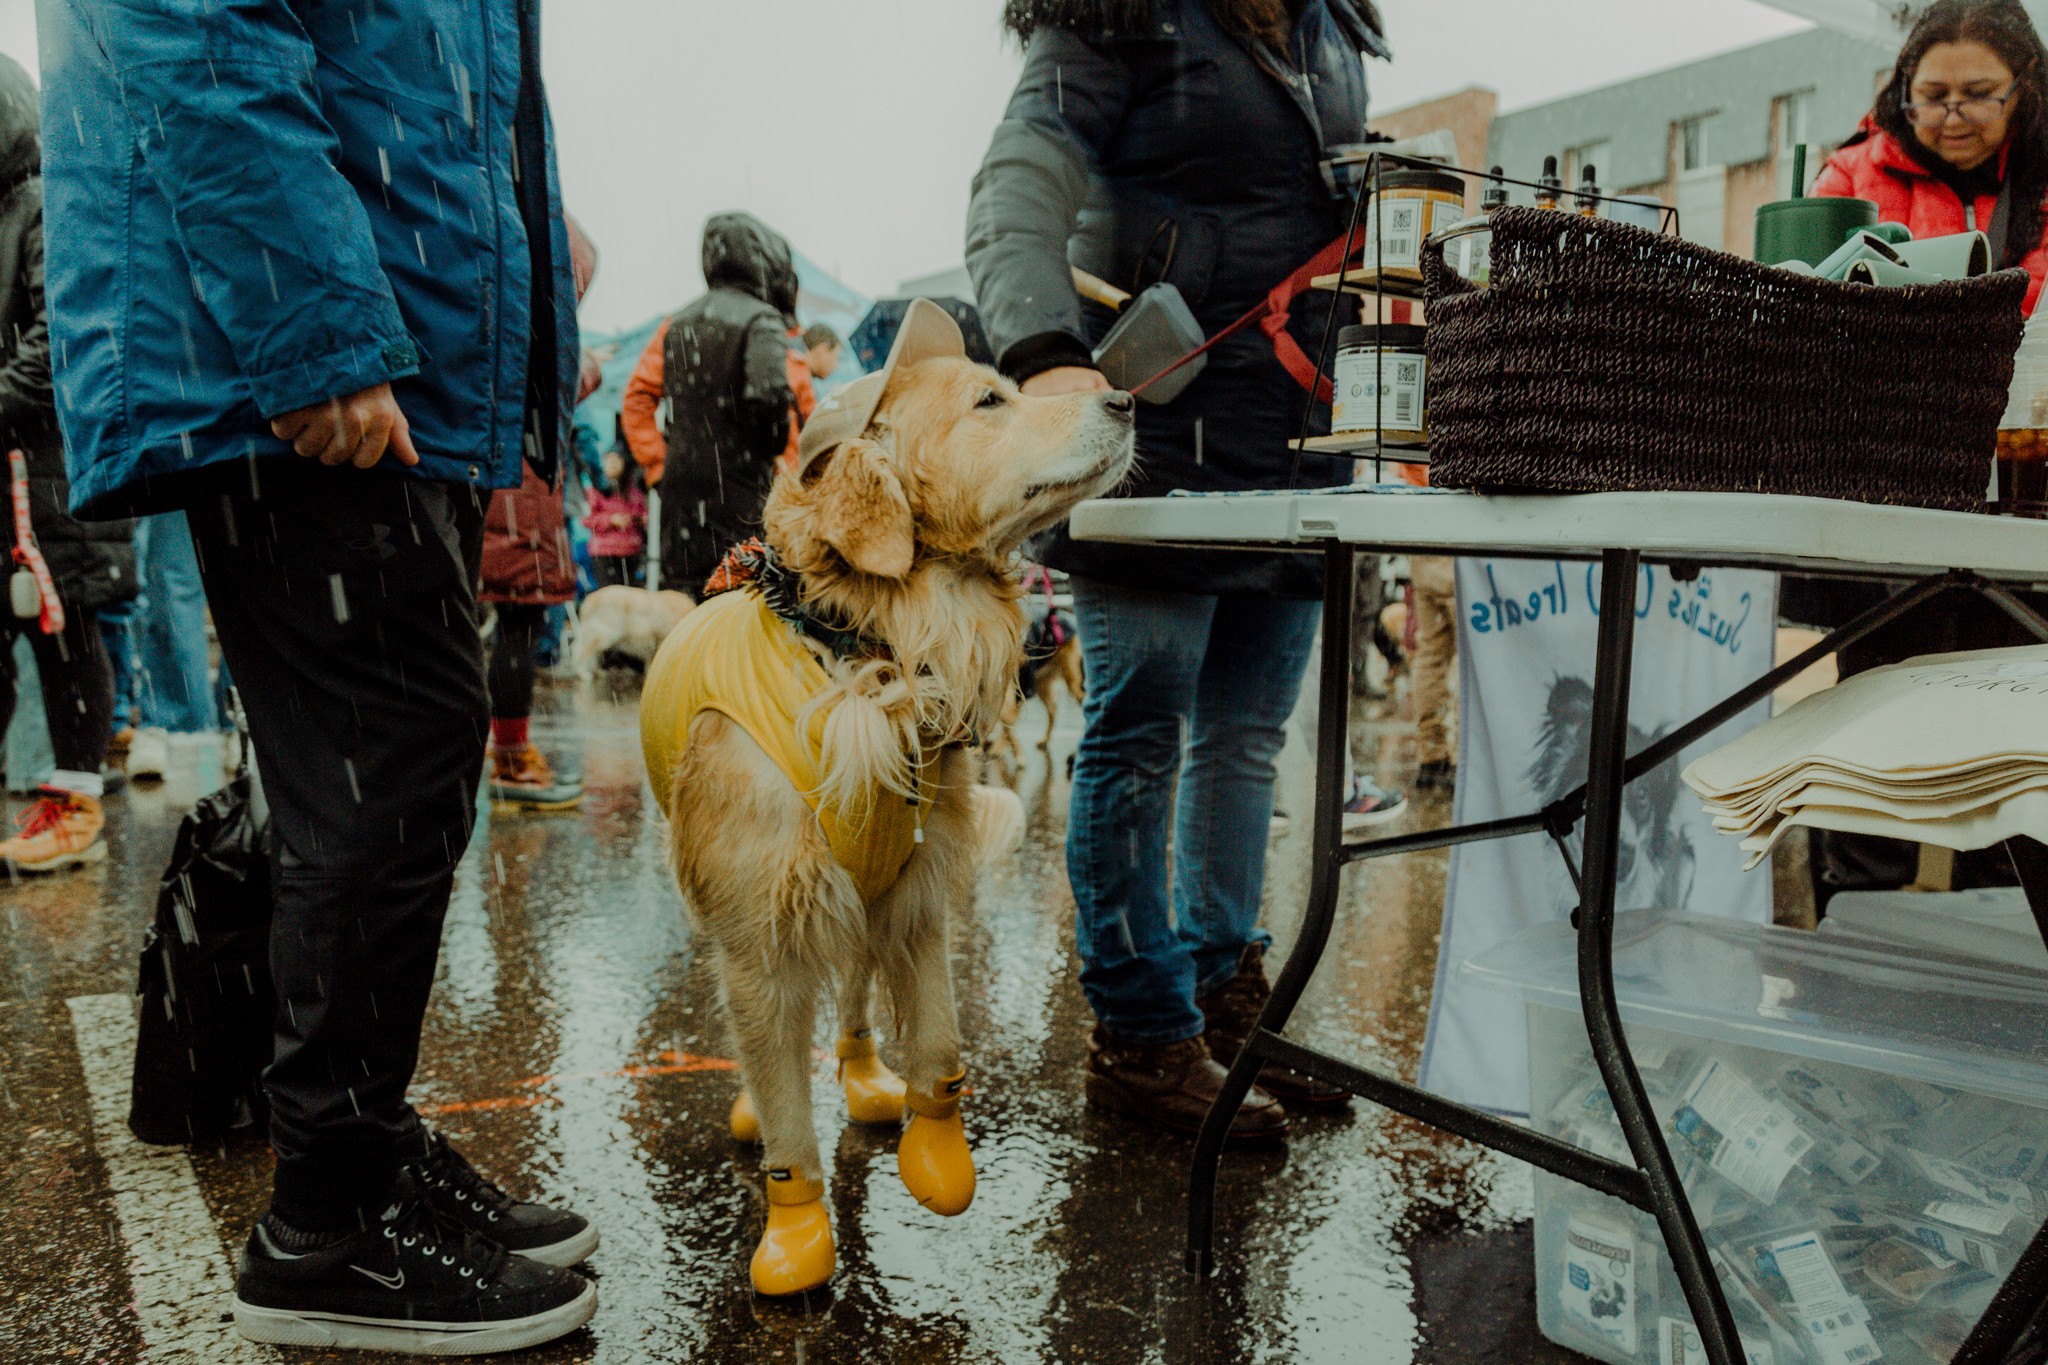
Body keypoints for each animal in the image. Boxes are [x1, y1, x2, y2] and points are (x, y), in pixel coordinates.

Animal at [634, 304, 1138, 1301]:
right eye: (991, 400)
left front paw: (937, 1151)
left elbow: (939, 1042)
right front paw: (796, 1229)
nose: (1125, 398)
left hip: (860, 891)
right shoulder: (759, 928)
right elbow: (784, 1098)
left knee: (858, 996)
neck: (861, 654)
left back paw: (869, 1079)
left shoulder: (916, 886)